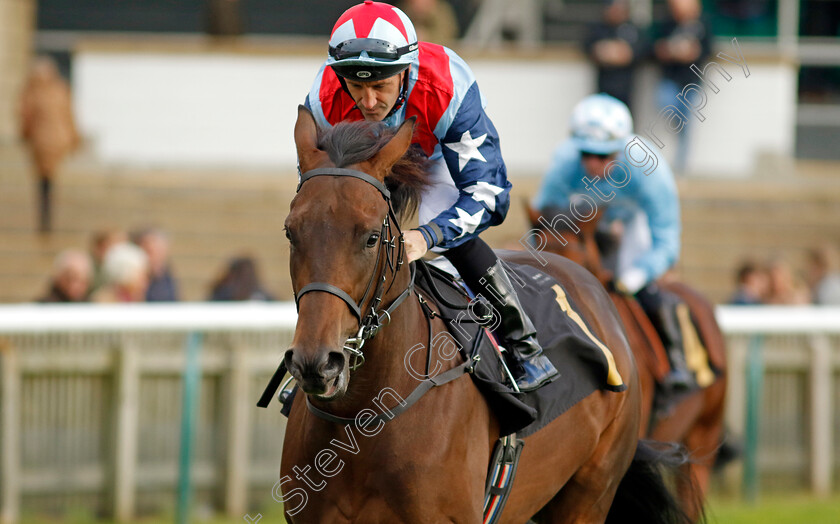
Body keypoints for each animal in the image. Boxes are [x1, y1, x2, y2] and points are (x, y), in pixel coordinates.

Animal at [278, 106, 692, 524]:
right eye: (290, 232)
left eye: (371, 238)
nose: (317, 363)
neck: (361, 415)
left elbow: (483, 195)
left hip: (591, 492)